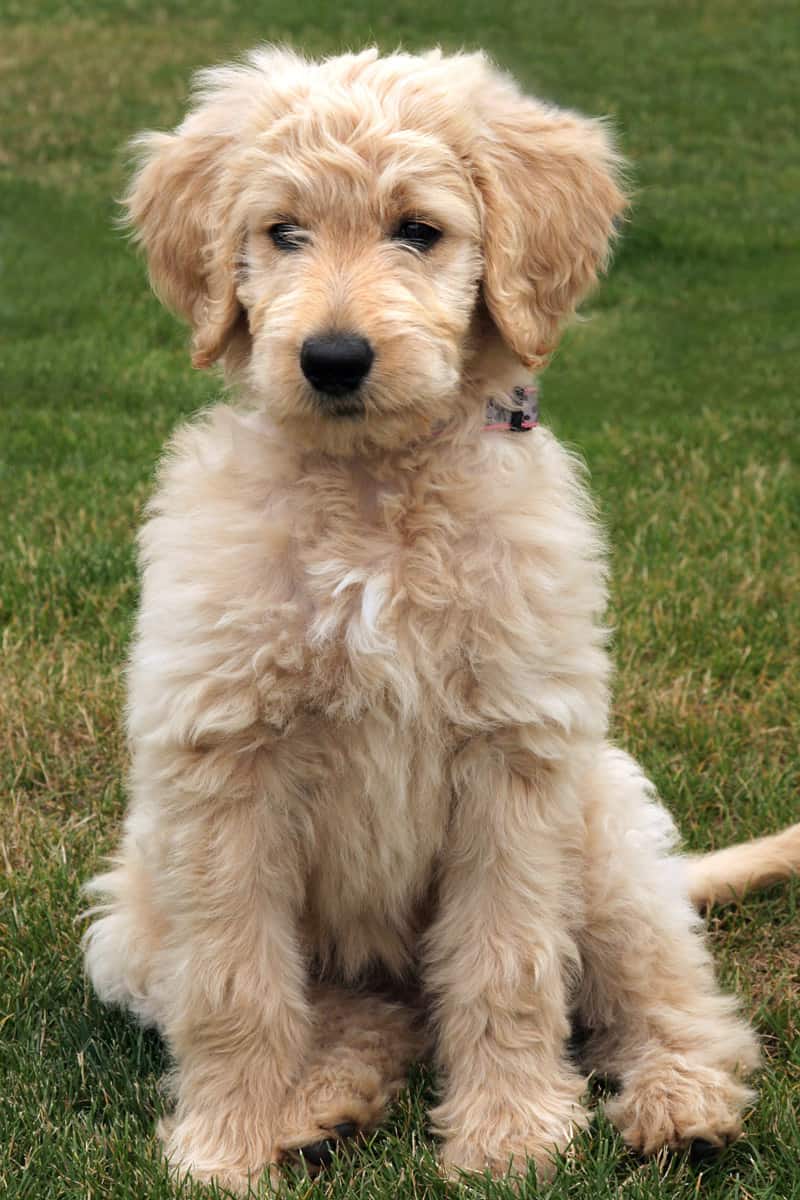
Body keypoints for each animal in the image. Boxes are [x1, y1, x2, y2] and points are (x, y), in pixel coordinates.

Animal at [82, 44, 800, 1190]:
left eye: (417, 230)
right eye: (281, 231)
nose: (332, 359)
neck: (375, 494)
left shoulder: (514, 754)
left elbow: (507, 965)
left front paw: (510, 1138)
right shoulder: (223, 765)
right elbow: (237, 983)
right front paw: (227, 1144)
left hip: (604, 838)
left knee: (675, 1001)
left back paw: (679, 1104)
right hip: (136, 920)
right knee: (368, 1015)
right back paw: (321, 1102)